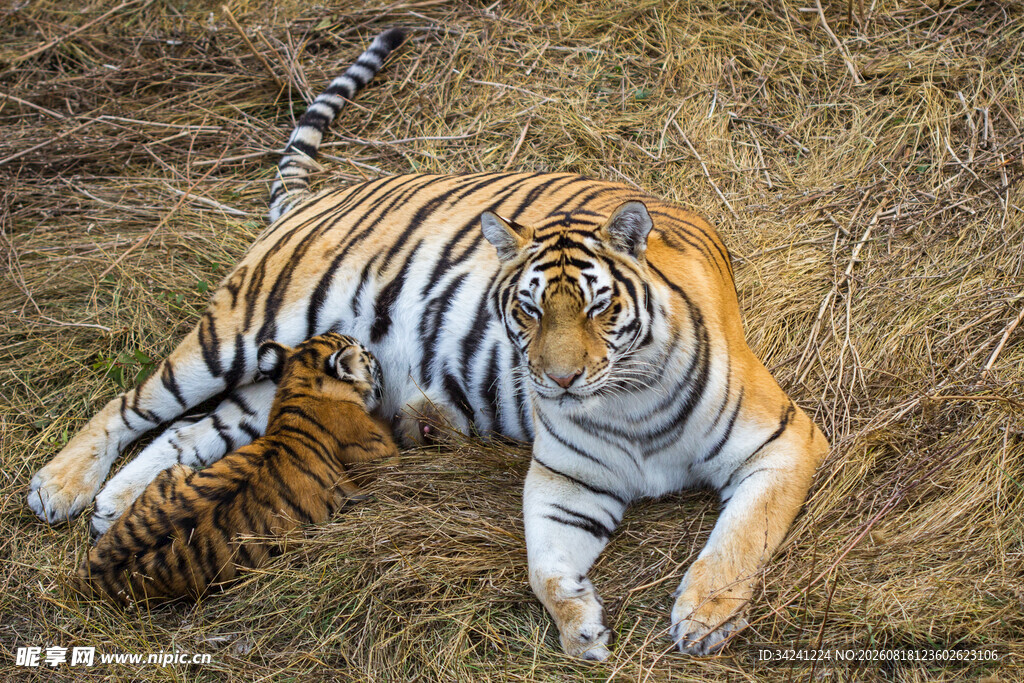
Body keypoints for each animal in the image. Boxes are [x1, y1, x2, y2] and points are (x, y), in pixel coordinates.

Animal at [76, 333, 397, 605]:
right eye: (366, 354)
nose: (377, 354)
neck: (302, 386)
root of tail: (91, 571)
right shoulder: (379, 455)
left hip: (174, 472)